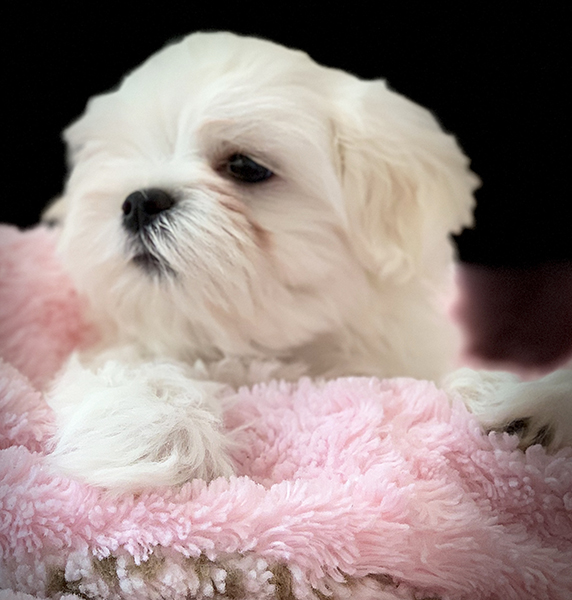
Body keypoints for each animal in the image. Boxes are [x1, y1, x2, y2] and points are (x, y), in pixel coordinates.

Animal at [44, 31, 572, 492]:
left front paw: (524, 402)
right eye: (121, 159)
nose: (138, 201)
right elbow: (132, 368)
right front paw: (156, 438)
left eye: (245, 167)